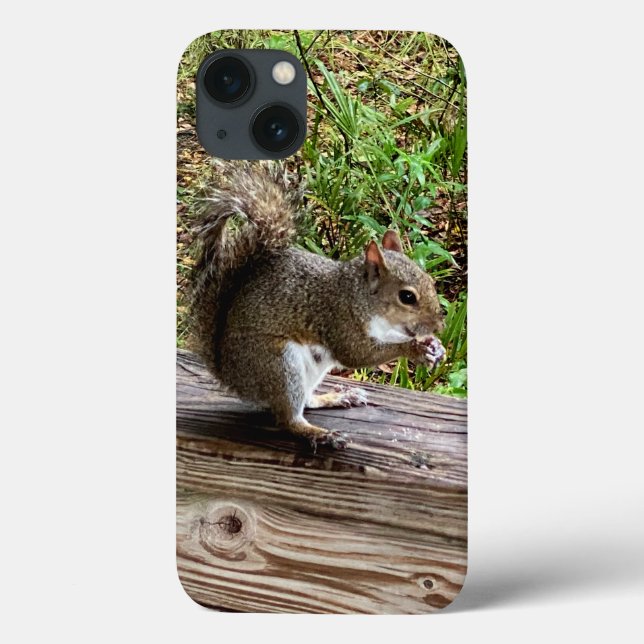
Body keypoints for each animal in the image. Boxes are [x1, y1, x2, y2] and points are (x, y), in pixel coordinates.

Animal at [188, 161, 446, 449]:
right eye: (407, 297)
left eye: (431, 280)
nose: (439, 325)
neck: (357, 296)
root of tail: (231, 375)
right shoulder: (338, 319)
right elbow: (357, 354)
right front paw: (414, 349)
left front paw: (434, 346)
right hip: (278, 365)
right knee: (289, 419)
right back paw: (319, 434)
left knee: (307, 401)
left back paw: (335, 398)